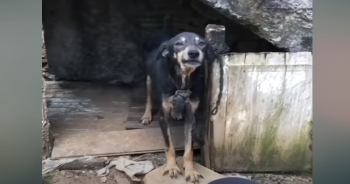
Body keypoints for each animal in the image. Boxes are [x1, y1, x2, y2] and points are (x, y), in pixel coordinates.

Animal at [141, 32, 215, 183]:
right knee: (149, 97)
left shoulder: (191, 118)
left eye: (202, 43)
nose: (193, 53)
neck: (182, 82)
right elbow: (169, 146)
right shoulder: (162, 117)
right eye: (178, 43)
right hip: (149, 78)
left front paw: (190, 170)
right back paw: (146, 115)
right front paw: (172, 167)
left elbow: (189, 150)